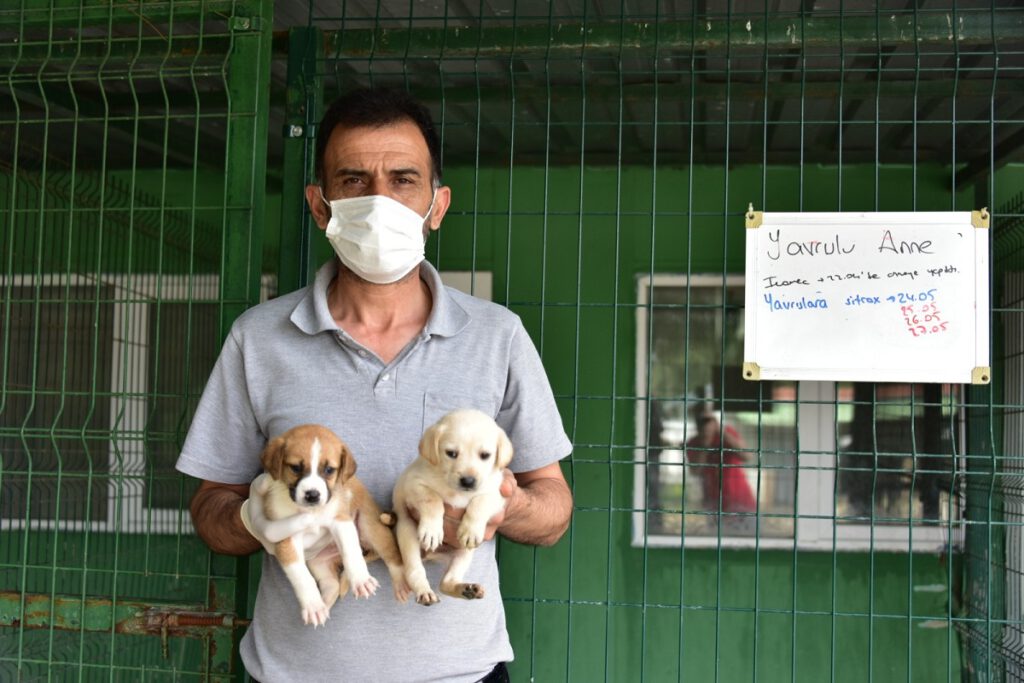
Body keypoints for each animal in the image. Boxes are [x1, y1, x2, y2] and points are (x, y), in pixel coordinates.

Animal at [258, 423, 409, 626]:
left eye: (329, 470)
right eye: (295, 468)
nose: (312, 495)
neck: (311, 512)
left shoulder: (341, 521)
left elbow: (351, 552)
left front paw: (361, 579)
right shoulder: (285, 538)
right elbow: (301, 575)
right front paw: (313, 605)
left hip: (372, 529)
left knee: (394, 558)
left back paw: (400, 584)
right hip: (318, 563)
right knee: (332, 585)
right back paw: (323, 604)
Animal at [391, 409, 512, 606]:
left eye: (485, 455)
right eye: (451, 453)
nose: (468, 481)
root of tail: (431, 556)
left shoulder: (497, 494)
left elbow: (480, 502)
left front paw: (470, 531)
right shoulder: (413, 484)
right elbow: (433, 500)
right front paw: (432, 531)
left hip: (463, 554)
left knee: (446, 582)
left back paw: (465, 589)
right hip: (407, 534)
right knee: (414, 572)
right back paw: (425, 592)